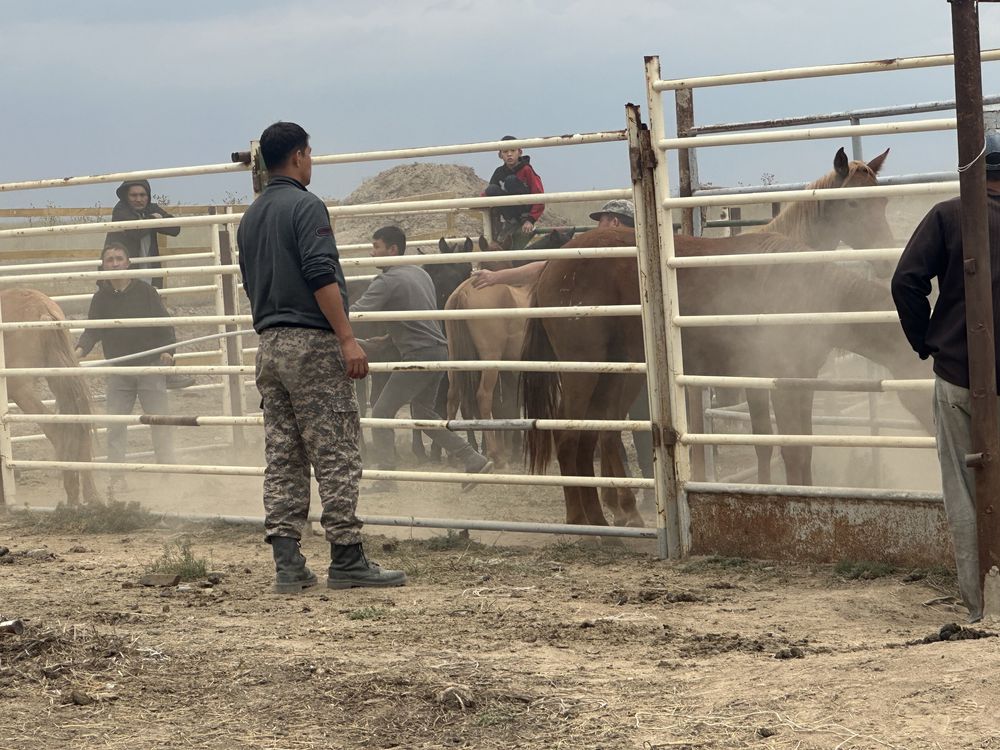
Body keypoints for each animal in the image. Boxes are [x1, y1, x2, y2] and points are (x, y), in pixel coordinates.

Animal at [1, 288, 99, 506]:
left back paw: (72, 497)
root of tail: (42, 308)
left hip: (19, 388)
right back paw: (91, 498)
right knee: (79, 427)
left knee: (57, 430)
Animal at [520, 229, 932, 528]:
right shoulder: (782, 381)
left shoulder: (797, 380)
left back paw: (610, 515)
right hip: (584, 371)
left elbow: (799, 446)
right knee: (568, 437)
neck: (811, 292)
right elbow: (792, 449)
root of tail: (550, 268)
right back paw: (585, 522)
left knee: (593, 434)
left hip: (618, 374)